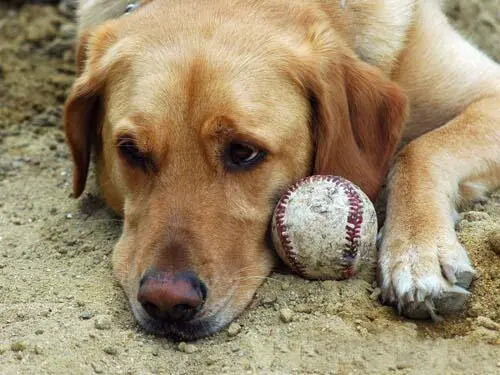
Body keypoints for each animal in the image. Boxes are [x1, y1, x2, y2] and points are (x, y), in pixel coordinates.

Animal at [66, 0, 500, 340]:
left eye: (243, 152)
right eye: (131, 151)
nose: (167, 301)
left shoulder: (487, 91)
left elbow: (419, 149)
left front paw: (417, 252)